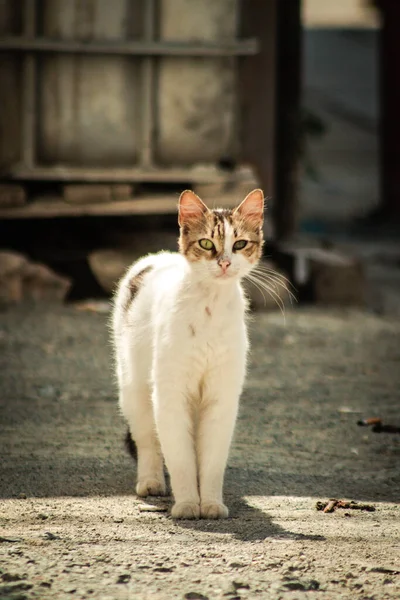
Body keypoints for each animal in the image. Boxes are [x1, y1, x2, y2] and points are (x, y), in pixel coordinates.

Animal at [111, 189, 264, 520]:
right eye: (207, 243)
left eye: (239, 244)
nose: (224, 262)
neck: (210, 306)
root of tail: (159, 256)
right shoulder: (170, 395)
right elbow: (180, 457)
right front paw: (187, 505)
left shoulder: (221, 398)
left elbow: (211, 460)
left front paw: (211, 503)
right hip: (134, 390)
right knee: (148, 441)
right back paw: (151, 482)